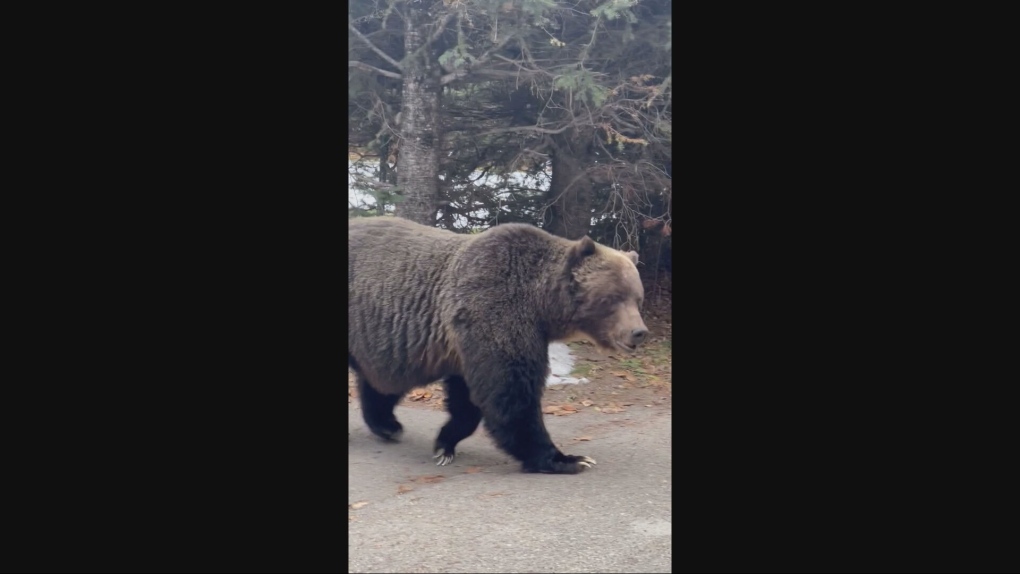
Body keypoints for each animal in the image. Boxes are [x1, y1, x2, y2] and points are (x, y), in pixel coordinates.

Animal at [346, 218, 648, 473]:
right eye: (613, 297)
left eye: (638, 298)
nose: (638, 332)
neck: (542, 306)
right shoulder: (494, 310)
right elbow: (511, 393)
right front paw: (567, 458)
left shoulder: (465, 343)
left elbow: (469, 399)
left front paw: (445, 443)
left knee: (381, 384)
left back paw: (388, 425)